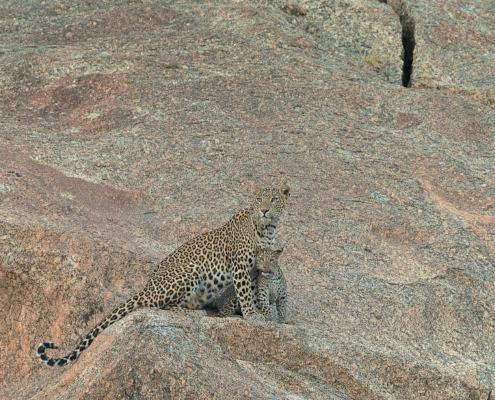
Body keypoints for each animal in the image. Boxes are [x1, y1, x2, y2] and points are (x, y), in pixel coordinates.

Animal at [37, 184, 290, 366]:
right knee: (162, 306)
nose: (264, 210)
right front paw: (253, 315)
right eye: (259, 200)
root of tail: (147, 286)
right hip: (190, 270)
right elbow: (245, 292)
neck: (266, 229)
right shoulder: (240, 266)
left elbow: (255, 291)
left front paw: (260, 313)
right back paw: (194, 314)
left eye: (274, 200)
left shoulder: (257, 269)